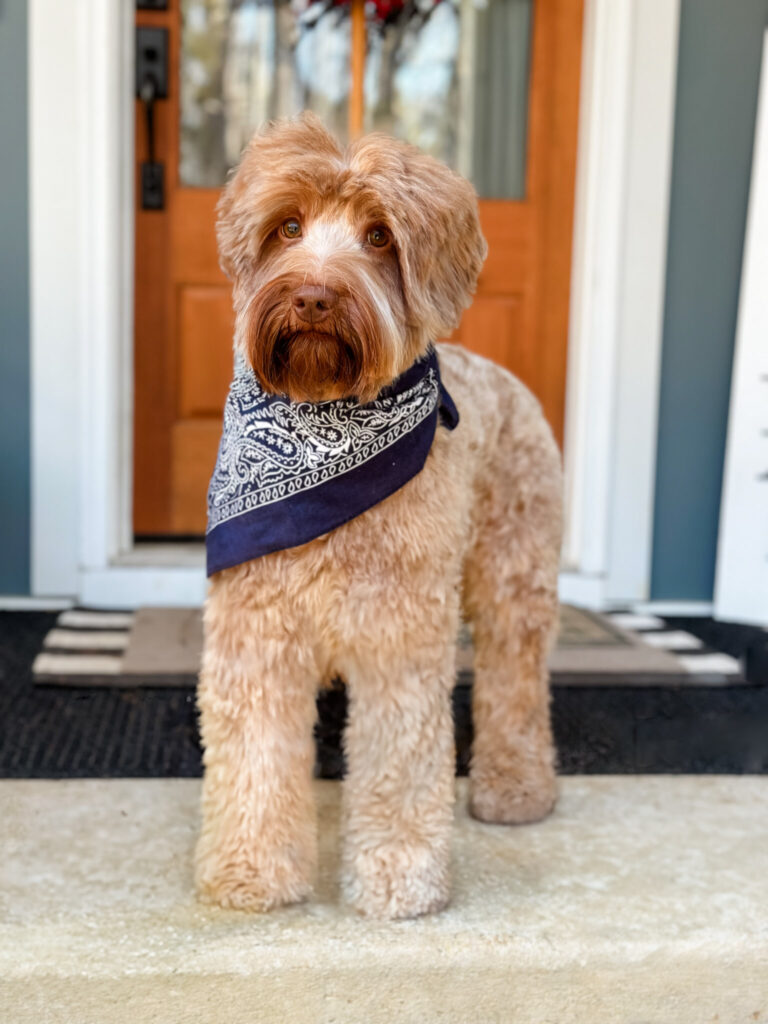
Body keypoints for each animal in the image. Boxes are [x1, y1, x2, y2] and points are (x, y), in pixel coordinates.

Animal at [195, 112, 561, 921]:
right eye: (288, 226)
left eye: (380, 237)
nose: (313, 297)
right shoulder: (256, 636)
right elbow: (256, 754)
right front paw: (250, 871)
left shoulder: (398, 633)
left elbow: (399, 758)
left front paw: (397, 875)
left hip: (514, 576)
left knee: (516, 680)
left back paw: (515, 787)